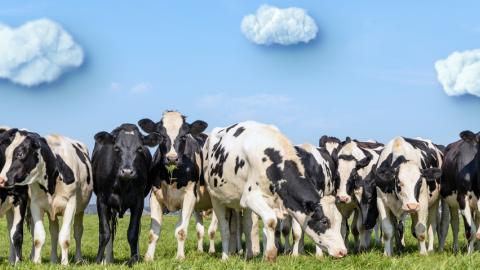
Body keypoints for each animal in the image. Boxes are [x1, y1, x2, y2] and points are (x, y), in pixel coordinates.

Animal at [0, 128, 94, 264]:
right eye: (6, 154)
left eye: (20, 154)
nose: (1, 179)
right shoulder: (36, 205)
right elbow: (38, 237)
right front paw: (36, 262)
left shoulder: (70, 204)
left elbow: (65, 238)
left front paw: (64, 263)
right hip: (48, 210)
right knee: (53, 232)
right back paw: (52, 260)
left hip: (80, 209)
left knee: (77, 231)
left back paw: (78, 259)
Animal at [92, 123, 161, 266]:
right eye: (116, 147)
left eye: (139, 148)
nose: (127, 171)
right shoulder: (101, 199)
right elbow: (104, 232)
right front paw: (98, 260)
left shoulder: (138, 201)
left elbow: (133, 232)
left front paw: (134, 260)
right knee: (110, 228)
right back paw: (108, 259)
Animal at [137, 110, 219, 260]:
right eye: (161, 135)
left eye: (183, 136)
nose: (172, 158)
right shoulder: (155, 197)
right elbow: (153, 232)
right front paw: (148, 258)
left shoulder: (189, 197)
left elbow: (181, 231)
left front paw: (180, 257)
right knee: (201, 230)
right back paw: (200, 250)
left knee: (213, 230)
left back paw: (213, 251)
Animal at [202, 122, 344, 262]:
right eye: (324, 221)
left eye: (339, 221)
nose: (342, 251)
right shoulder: (250, 197)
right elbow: (271, 221)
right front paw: (270, 255)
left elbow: (267, 230)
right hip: (216, 199)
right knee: (224, 228)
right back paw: (225, 257)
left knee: (247, 226)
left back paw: (249, 255)